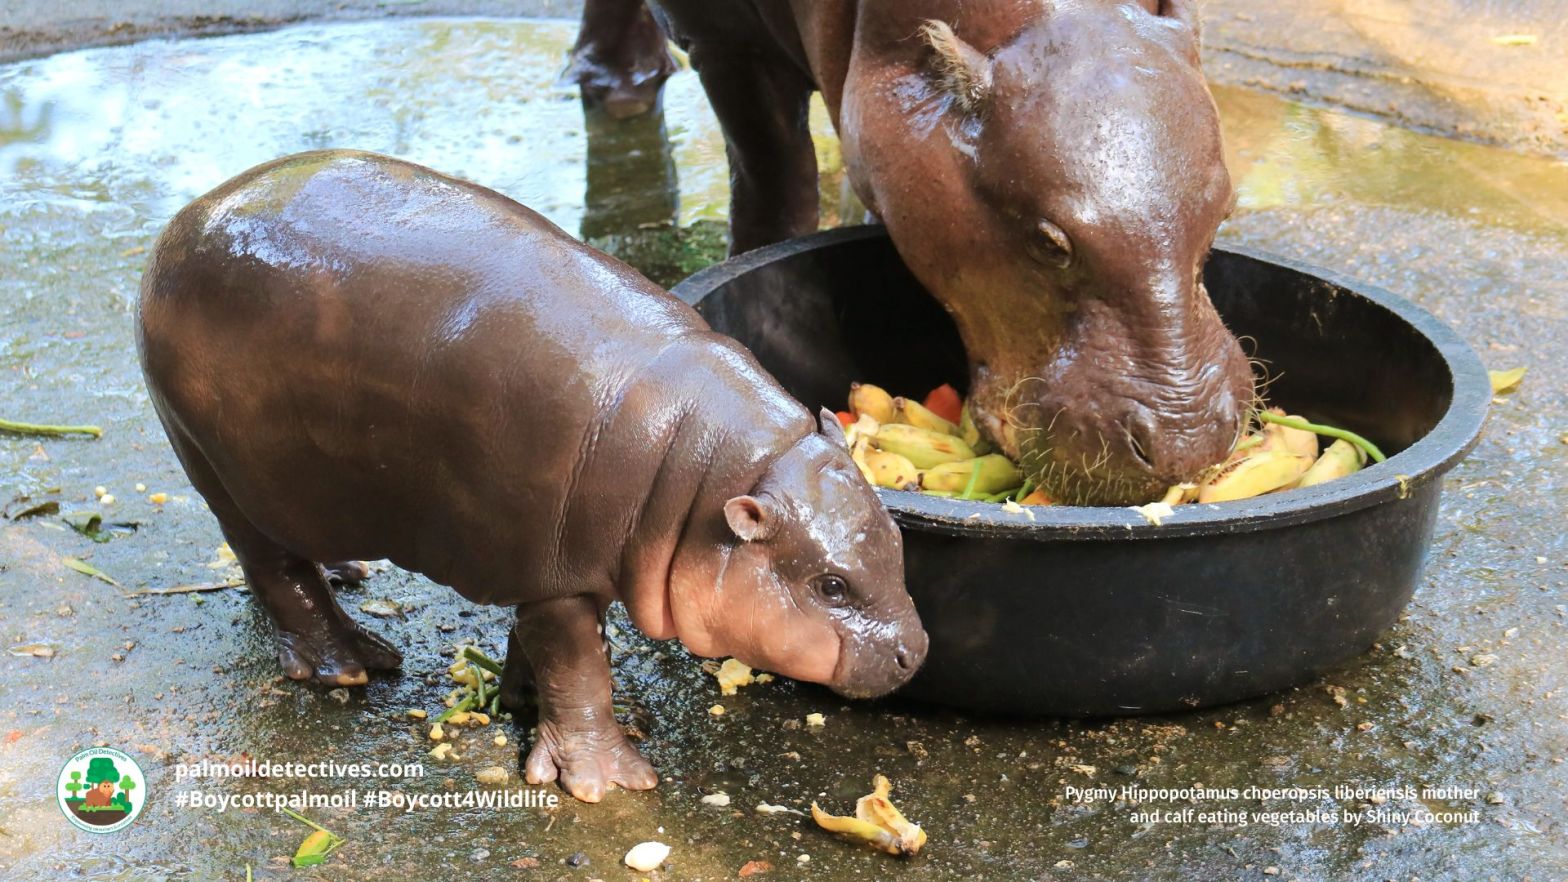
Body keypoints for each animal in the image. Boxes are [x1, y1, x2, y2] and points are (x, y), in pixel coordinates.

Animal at [135, 150, 927, 802]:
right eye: (830, 585)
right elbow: (578, 668)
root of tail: (185, 217)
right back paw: (354, 664)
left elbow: (547, 648)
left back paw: (347, 572)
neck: (704, 477)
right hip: (214, 463)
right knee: (273, 567)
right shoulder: (553, 576)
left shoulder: (564, 565)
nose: (914, 651)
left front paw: (522, 702)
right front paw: (608, 782)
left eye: (897, 541)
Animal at [576, 0, 1254, 505]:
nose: (1188, 443)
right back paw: (617, 87)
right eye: (1047, 241)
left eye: (1224, 210)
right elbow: (773, 186)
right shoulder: (728, 45)